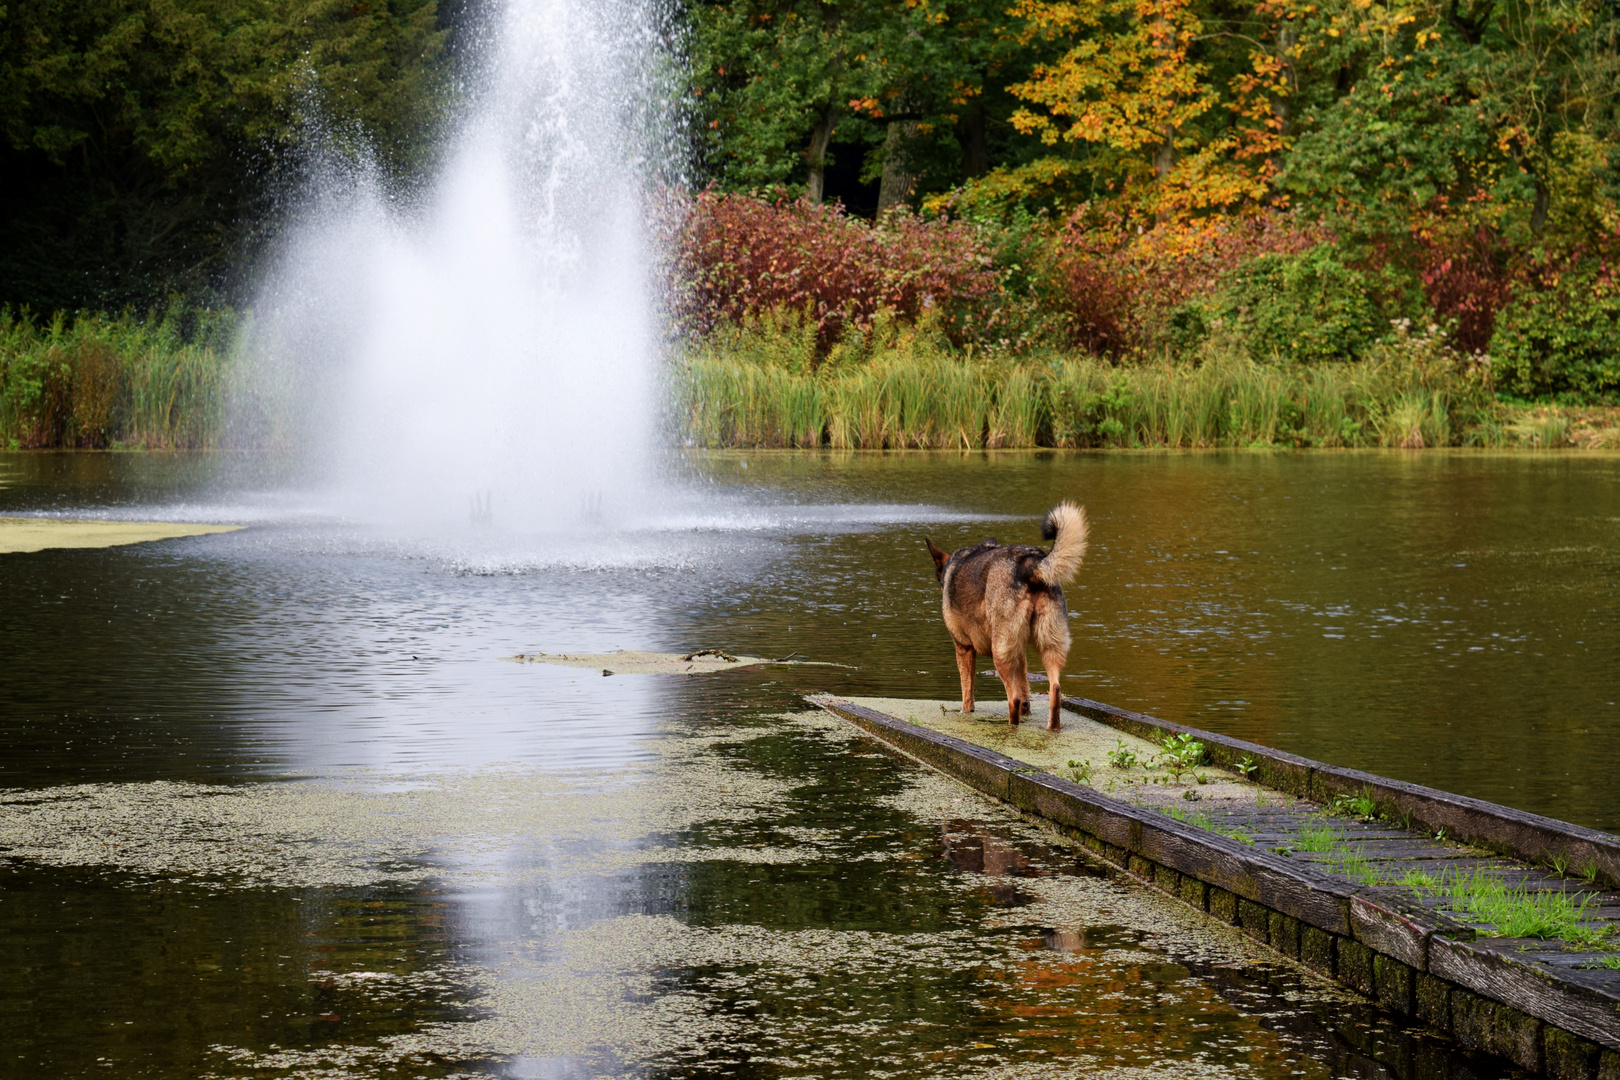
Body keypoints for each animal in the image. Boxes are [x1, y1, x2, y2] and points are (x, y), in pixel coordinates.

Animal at [926, 501, 1088, 731]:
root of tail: (1029, 562)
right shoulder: (1020, 653)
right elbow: (1026, 695)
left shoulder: (963, 648)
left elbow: (967, 694)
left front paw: (965, 712)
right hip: (1050, 644)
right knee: (1054, 691)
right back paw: (1052, 727)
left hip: (1000, 652)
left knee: (1013, 699)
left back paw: (1012, 727)